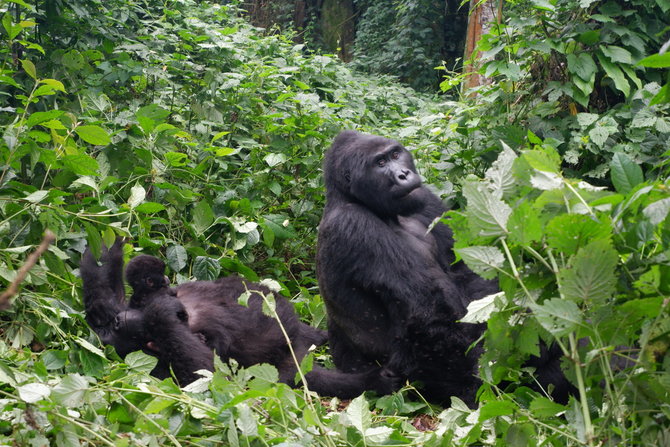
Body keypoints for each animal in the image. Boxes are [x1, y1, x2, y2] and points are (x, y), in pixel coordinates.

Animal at [81, 238, 402, 400]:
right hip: (288, 365)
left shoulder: (119, 304)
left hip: (305, 337)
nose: (115, 324)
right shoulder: (162, 364)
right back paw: (378, 380)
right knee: (309, 376)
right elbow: (212, 374)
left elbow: (102, 290)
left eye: (117, 324)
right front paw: (163, 314)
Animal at [318, 131, 568, 408]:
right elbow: (429, 321)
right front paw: (473, 391)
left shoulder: (423, 198)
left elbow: (469, 270)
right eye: (380, 163)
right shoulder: (354, 225)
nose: (403, 174)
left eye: (395, 154)